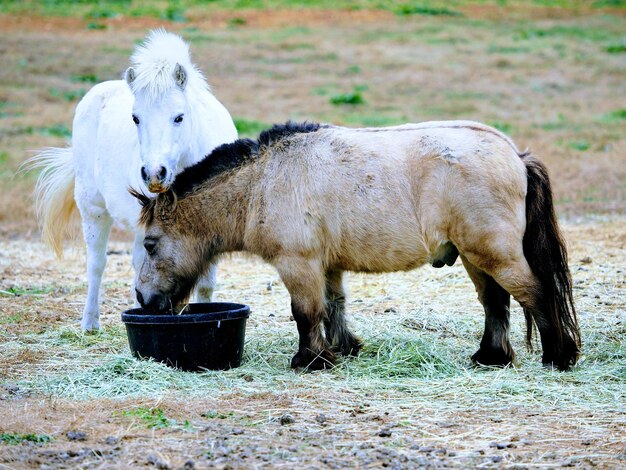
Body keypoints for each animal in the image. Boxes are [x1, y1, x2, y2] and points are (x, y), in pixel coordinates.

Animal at [26, 29, 238, 330]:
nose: (154, 173)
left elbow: (205, 282)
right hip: (93, 209)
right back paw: (90, 322)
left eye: (179, 117)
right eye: (136, 118)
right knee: (97, 264)